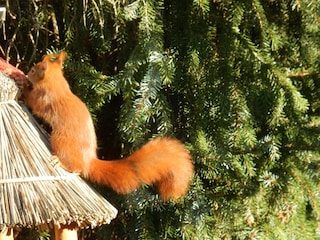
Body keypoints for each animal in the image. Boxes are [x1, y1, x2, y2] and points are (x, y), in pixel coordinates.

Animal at [23, 51, 192, 201]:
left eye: (33, 70)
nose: (26, 73)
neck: (57, 85)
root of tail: (89, 162)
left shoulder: (43, 100)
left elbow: (32, 102)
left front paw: (21, 83)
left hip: (61, 142)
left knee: (77, 168)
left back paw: (60, 162)